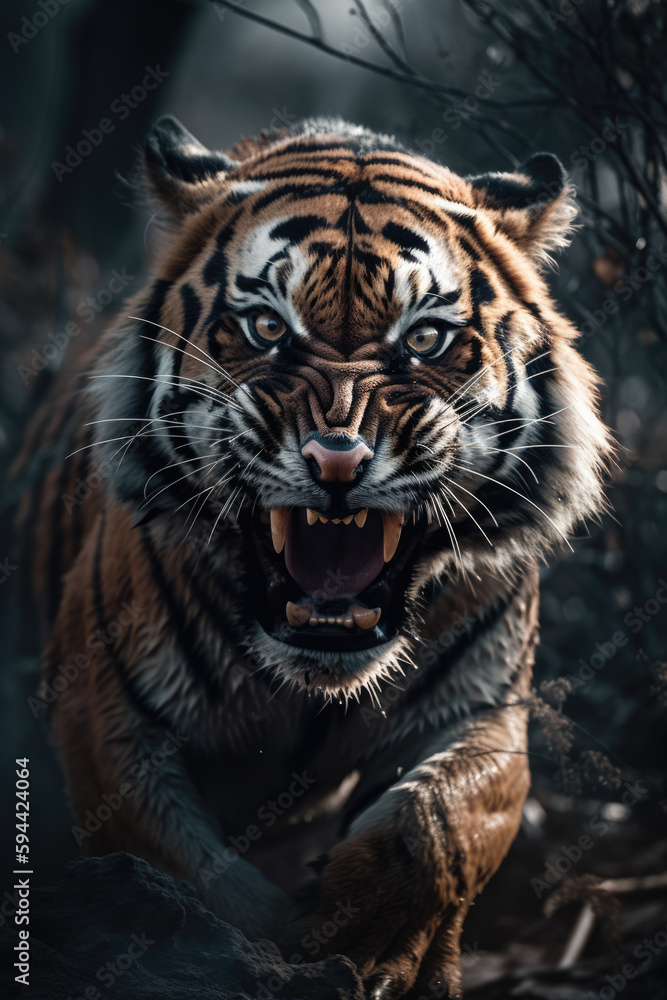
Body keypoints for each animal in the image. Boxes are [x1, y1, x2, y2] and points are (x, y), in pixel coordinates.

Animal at [13, 116, 612, 998]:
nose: (337, 461)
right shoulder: (108, 716)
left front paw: (367, 946)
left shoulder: (484, 710)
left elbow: (439, 825)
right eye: (267, 328)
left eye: (424, 338)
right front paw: (254, 951)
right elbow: (183, 873)